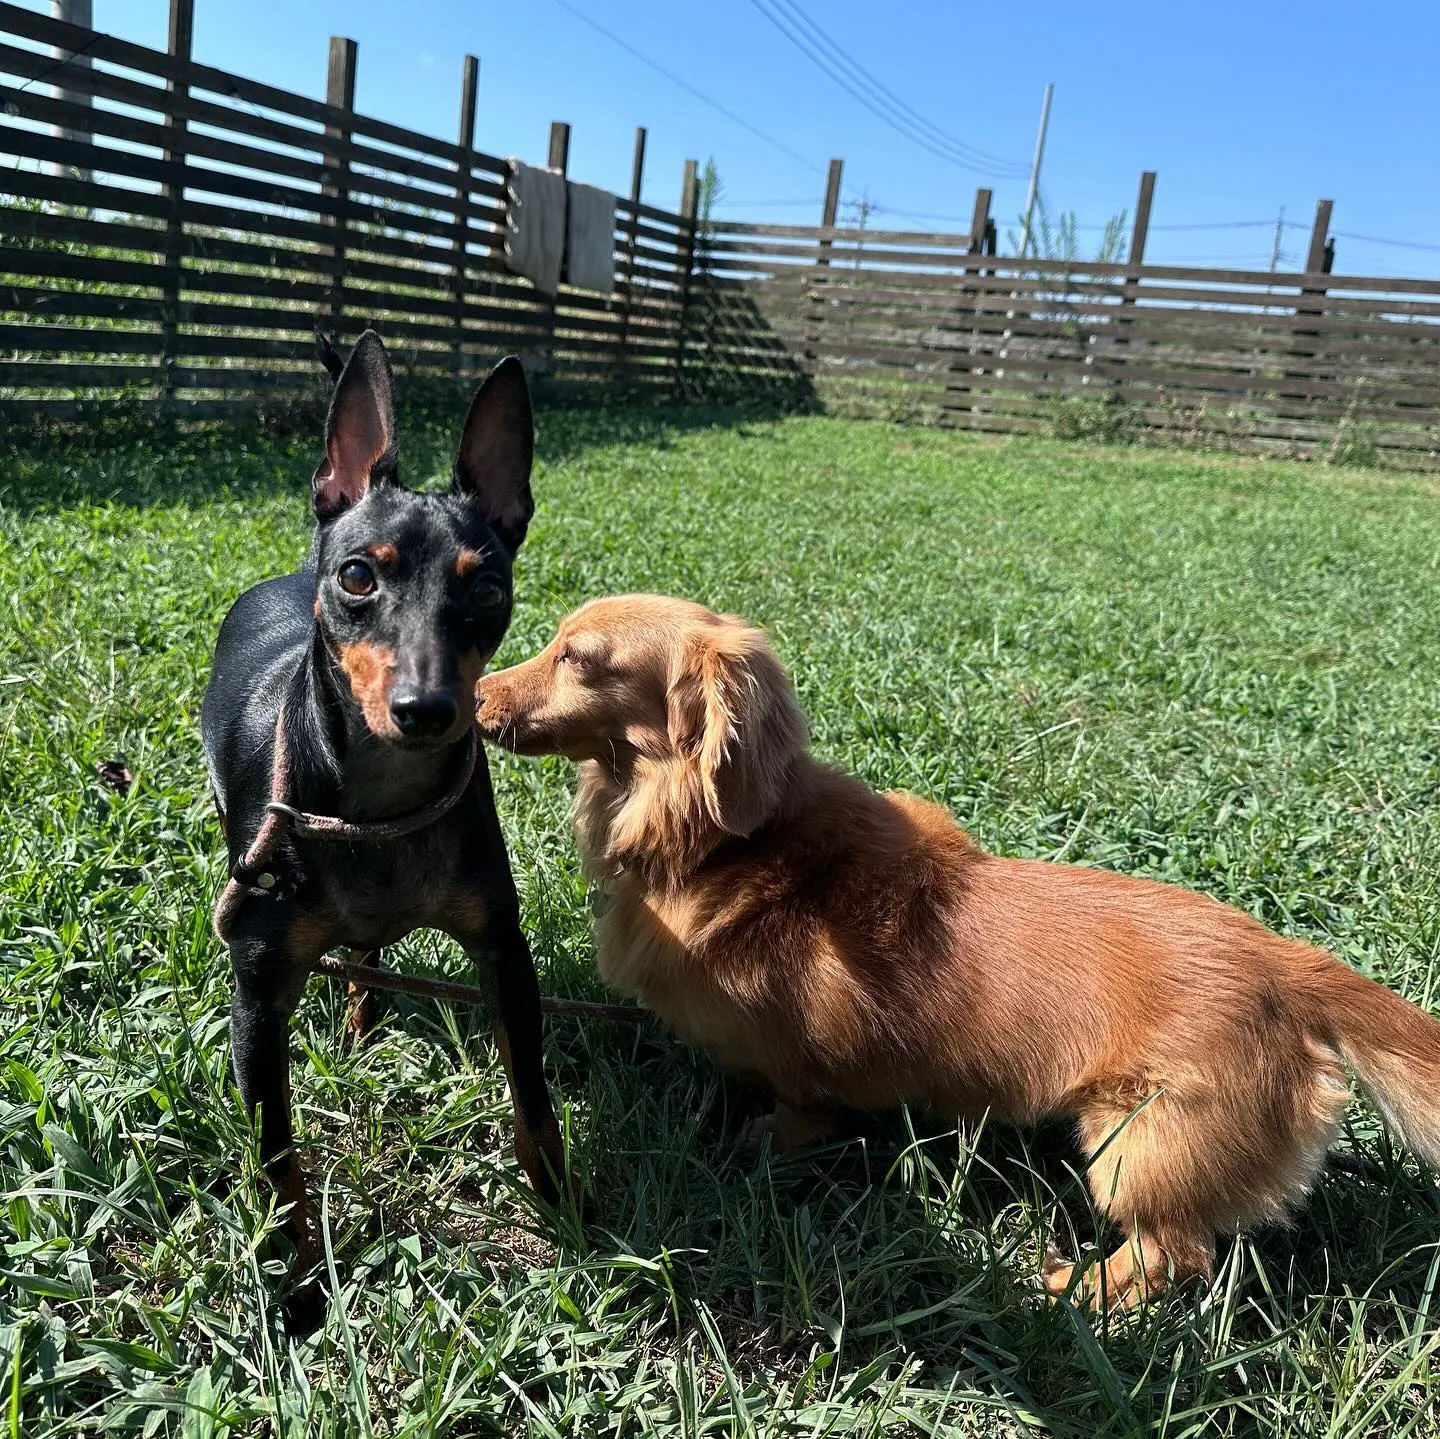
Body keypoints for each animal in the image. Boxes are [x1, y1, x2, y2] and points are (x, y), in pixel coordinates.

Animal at [203, 334, 561, 1325]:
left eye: (490, 588)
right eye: (360, 575)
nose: (427, 708)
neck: (377, 808)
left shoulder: (504, 953)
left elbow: (534, 1104)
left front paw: (574, 1213)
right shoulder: (258, 998)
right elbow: (279, 1161)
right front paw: (296, 1283)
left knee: (365, 952)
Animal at [478, 593, 1440, 1307]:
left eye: (579, 658)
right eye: (552, 637)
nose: (474, 698)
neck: (717, 844)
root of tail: (1285, 963)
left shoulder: (805, 1068)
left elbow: (797, 1111)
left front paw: (756, 1142)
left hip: (1134, 1142)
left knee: (1177, 1252)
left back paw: (1083, 1292)